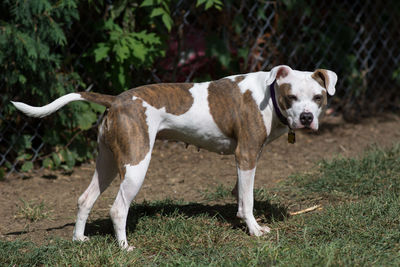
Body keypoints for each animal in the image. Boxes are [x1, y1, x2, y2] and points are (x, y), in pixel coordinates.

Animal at [11, 65, 338, 251]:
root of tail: (116, 99)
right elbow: (249, 199)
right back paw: (124, 247)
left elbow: (240, 195)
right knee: (117, 208)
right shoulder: (246, 156)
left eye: (318, 97)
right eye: (291, 97)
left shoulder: (243, 160)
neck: (267, 95)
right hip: (136, 165)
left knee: (85, 198)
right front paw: (254, 230)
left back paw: (79, 239)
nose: (307, 118)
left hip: (107, 162)